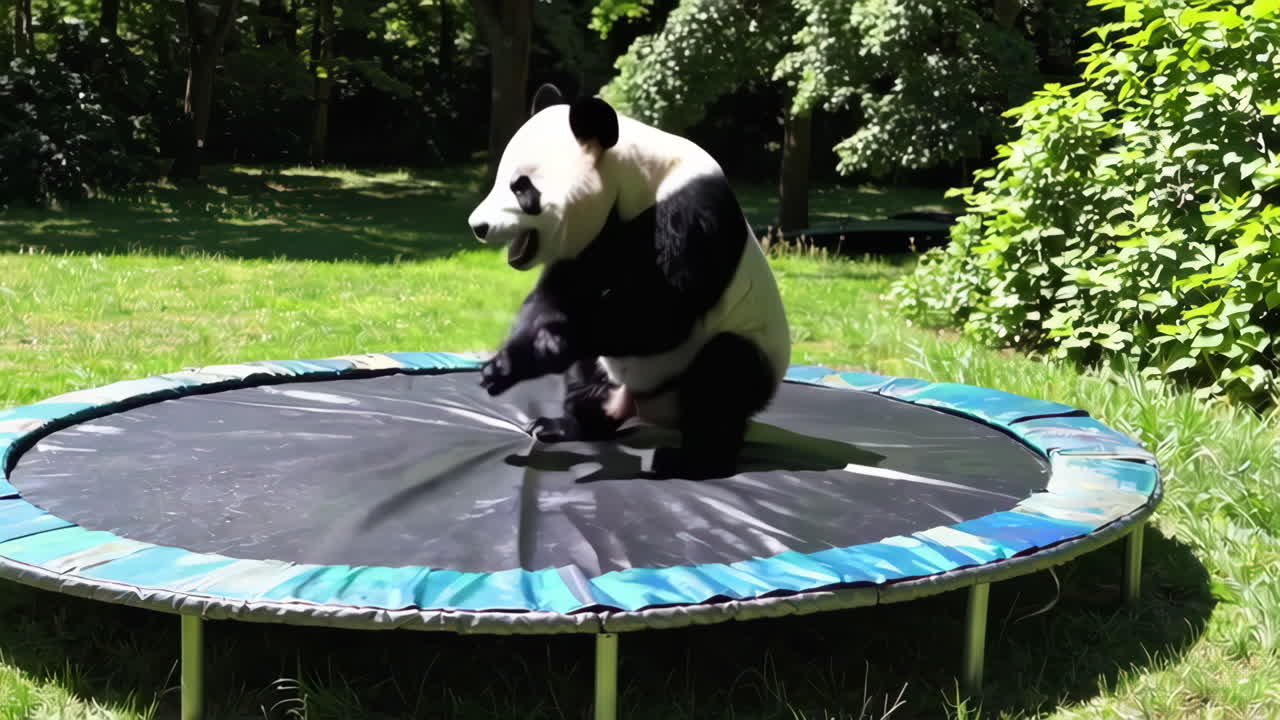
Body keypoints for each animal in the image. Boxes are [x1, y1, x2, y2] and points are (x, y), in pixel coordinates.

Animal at [467, 83, 791, 479]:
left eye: (522, 188)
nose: (478, 226)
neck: (638, 176)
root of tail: (647, 411)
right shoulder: (596, 235)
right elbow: (560, 294)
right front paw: (509, 363)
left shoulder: (691, 214)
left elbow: (664, 315)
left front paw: (548, 348)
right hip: (611, 375)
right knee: (587, 377)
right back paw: (566, 425)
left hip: (749, 350)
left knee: (722, 378)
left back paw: (689, 460)